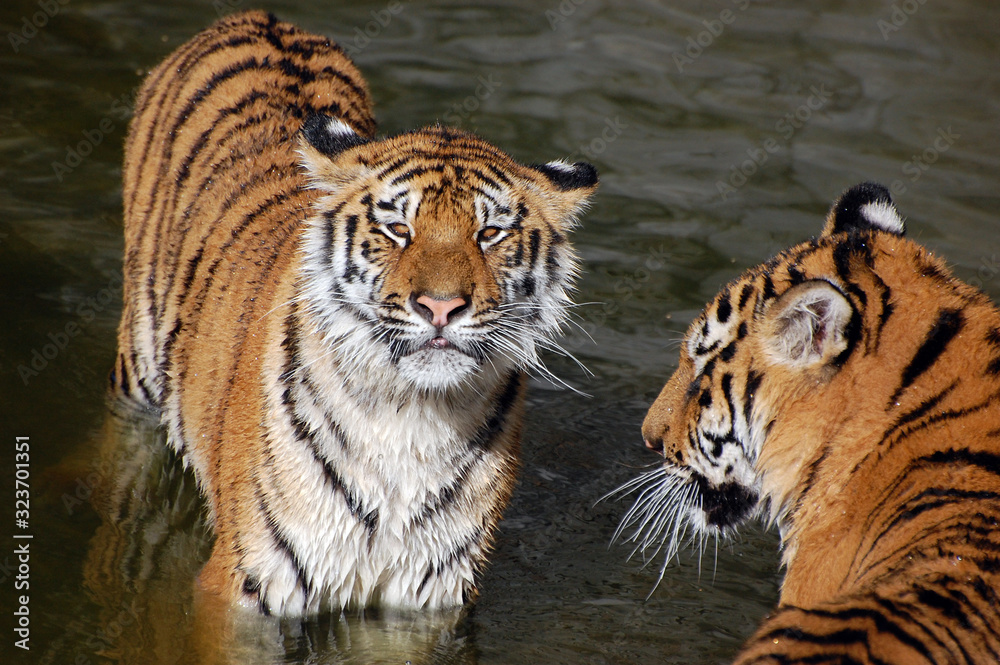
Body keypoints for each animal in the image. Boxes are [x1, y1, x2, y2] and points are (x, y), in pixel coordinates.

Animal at [112, 10, 597, 617]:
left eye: (489, 234)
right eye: (398, 229)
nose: (441, 306)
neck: (410, 418)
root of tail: (260, 17)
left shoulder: (431, 593)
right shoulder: (248, 583)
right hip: (136, 372)